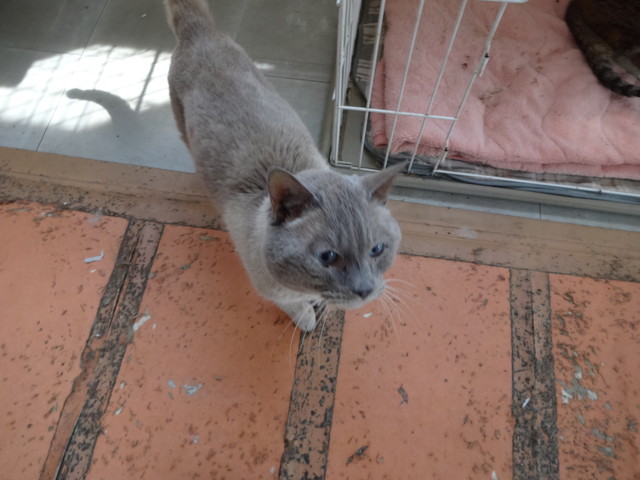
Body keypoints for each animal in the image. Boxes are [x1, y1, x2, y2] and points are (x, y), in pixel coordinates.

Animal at [165, 0, 405, 331]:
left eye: (377, 250)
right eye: (327, 257)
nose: (365, 290)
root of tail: (199, 31)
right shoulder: (272, 290)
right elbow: (294, 306)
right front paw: (307, 317)